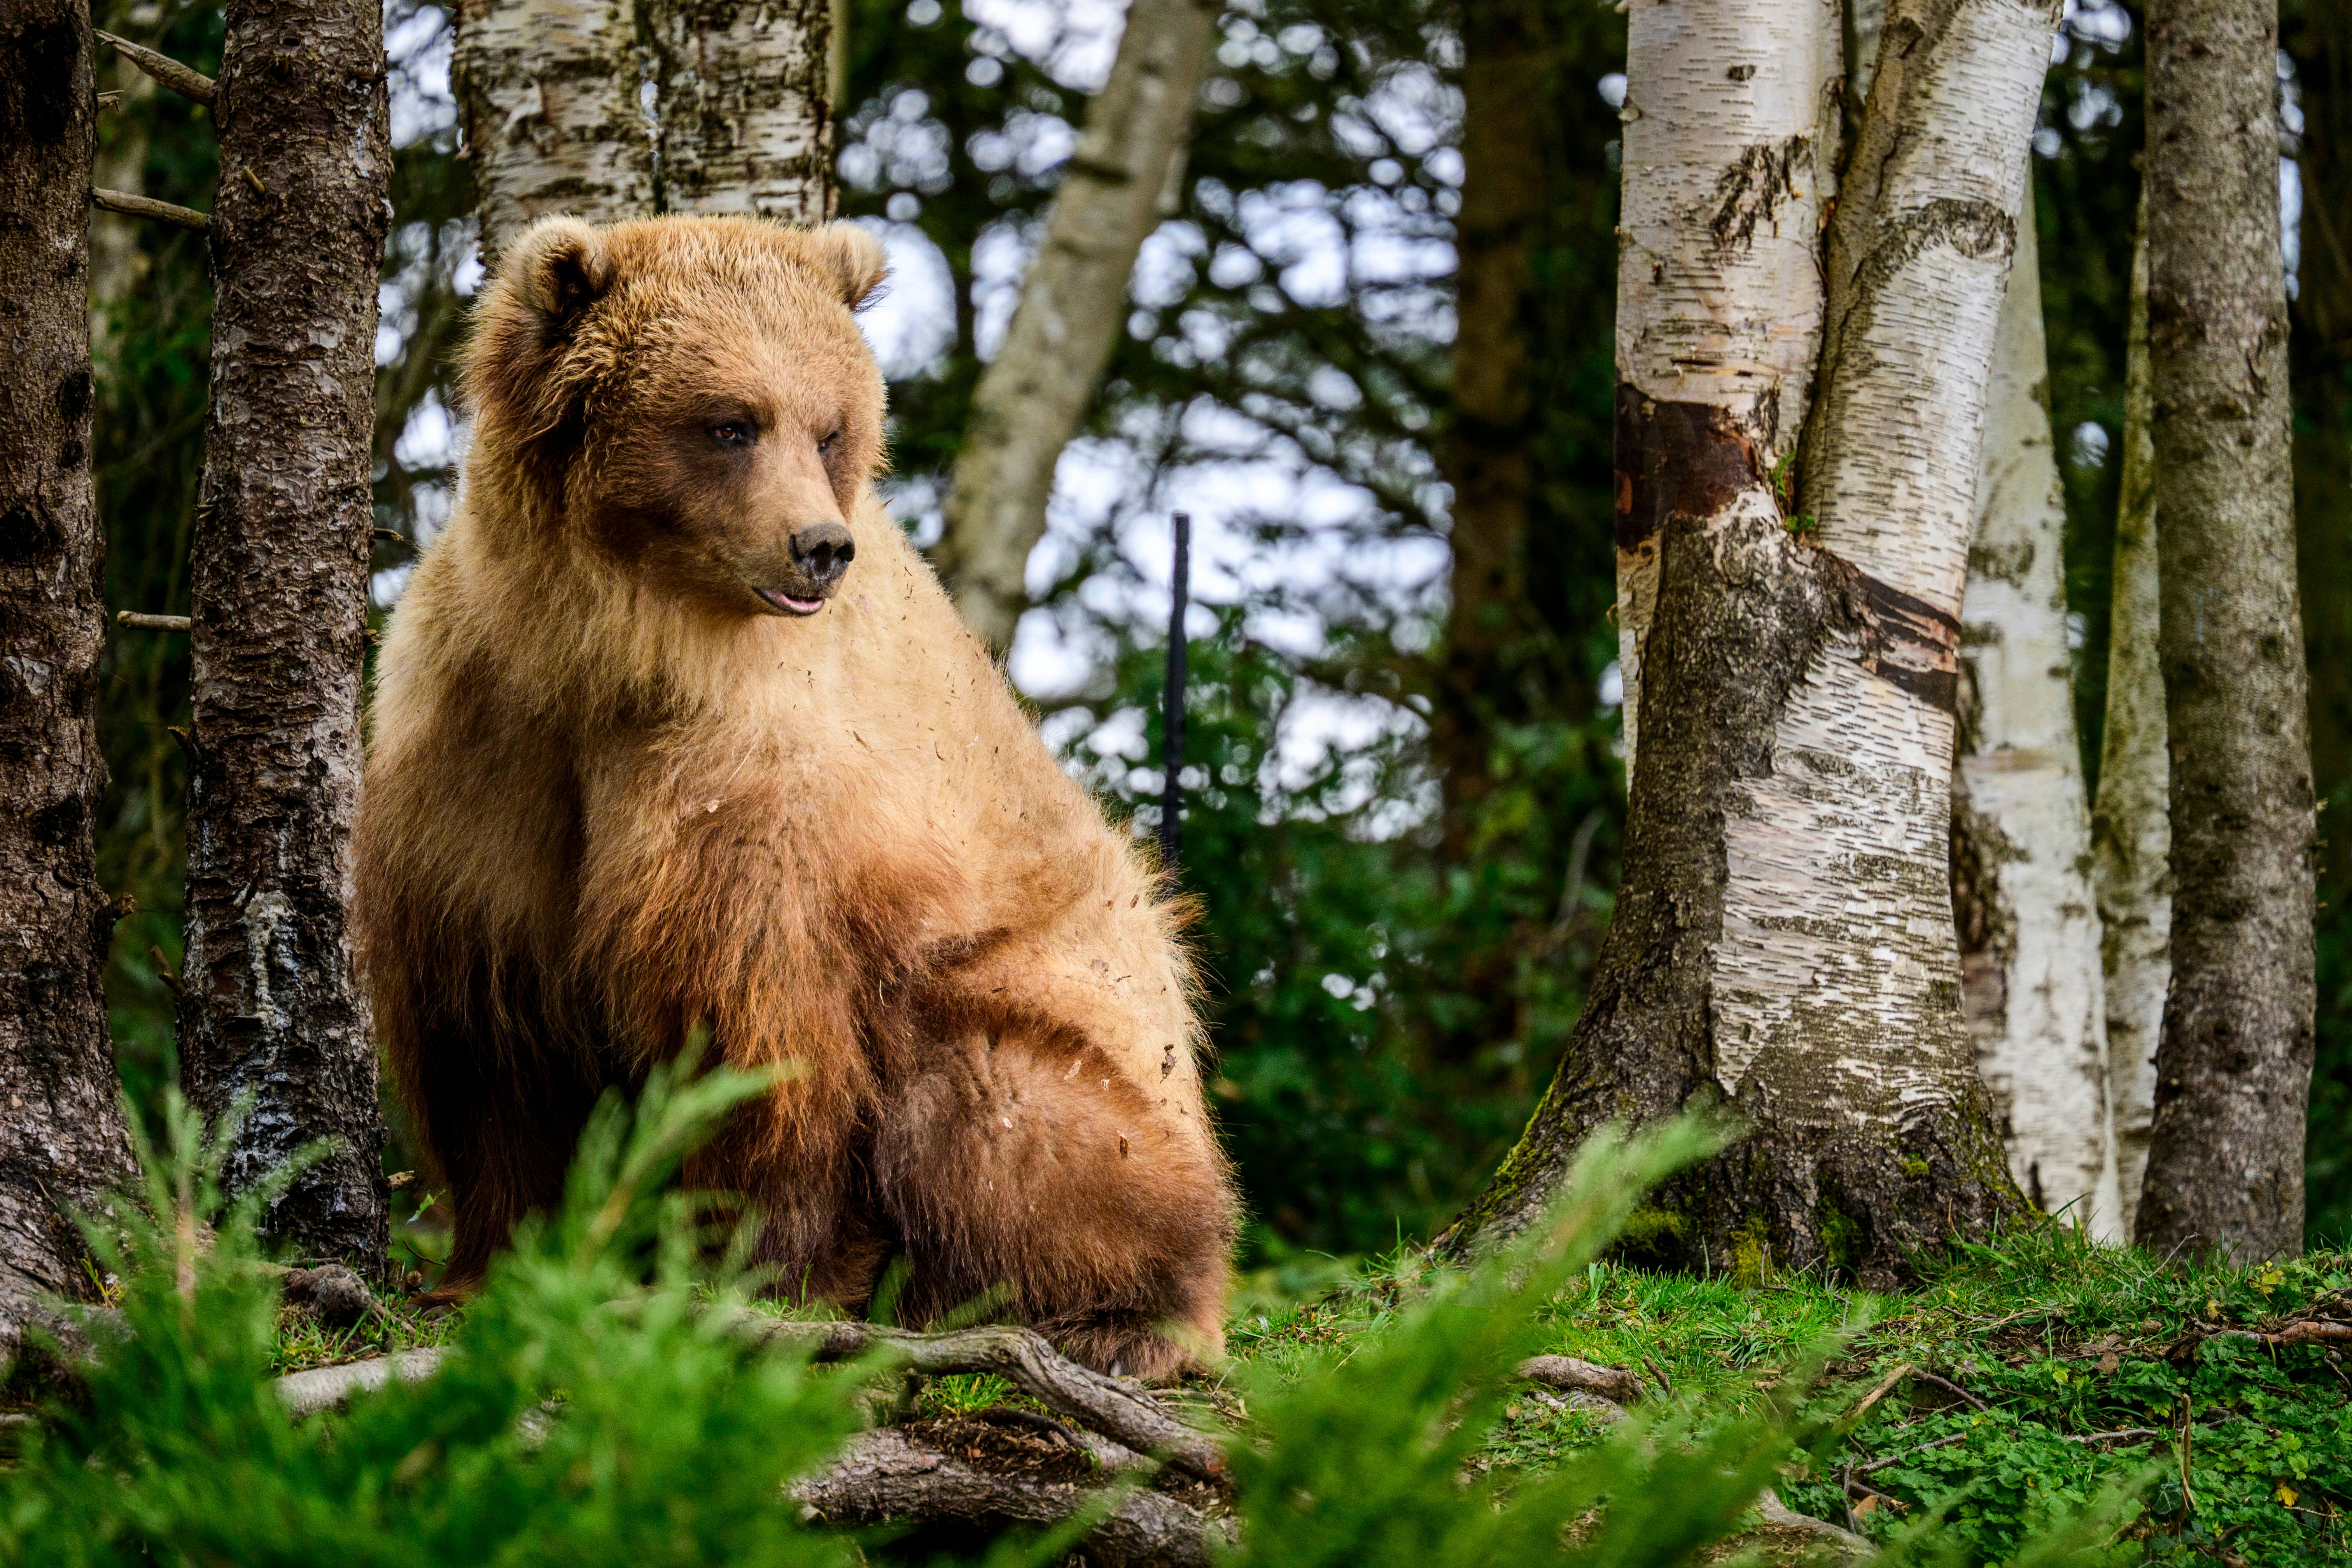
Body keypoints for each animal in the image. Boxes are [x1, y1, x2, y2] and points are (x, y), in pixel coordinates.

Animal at [354, 214, 1236, 1378]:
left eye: (828, 427)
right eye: (729, 422)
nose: (820, 547)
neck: (611, 656)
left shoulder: (759, 798)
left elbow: (757, 1038)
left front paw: (755, 1273)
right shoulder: (486, 758)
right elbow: (490, 1034)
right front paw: (494, 1262)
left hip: (1089, 1042)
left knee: (1004, 1110)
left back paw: (1103, 1316)